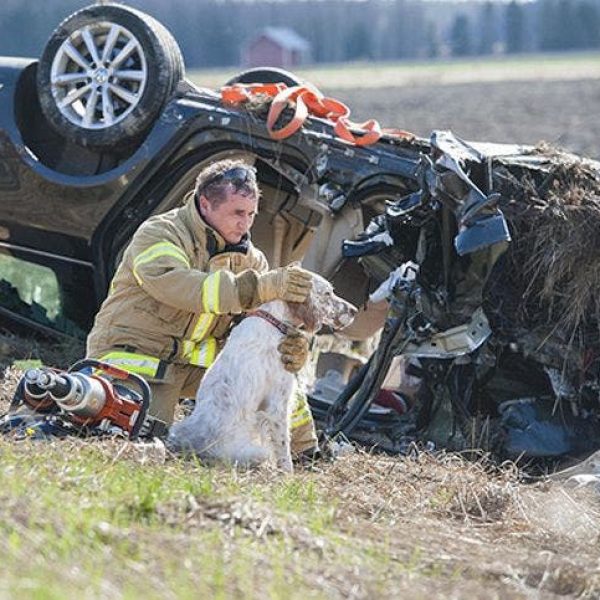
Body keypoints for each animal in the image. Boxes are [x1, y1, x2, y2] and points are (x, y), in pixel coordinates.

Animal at [168, 274, 356, 472]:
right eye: (327, 294)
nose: (355, 310)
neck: (273, 320)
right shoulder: (277, 403)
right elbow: (283, 447)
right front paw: (288, 473)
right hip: (257, 451)